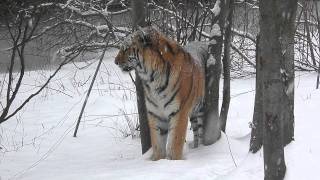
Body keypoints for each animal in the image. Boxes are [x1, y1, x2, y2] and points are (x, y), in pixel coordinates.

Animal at [115, 26, 205, 160]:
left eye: (125, 48)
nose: (115, 62)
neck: (152, 79)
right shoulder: (156, 114)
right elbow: (157, 143)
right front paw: (157, 160)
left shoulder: (179, 112)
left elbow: (175, 144)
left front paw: (174, 160)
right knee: (196, 132)